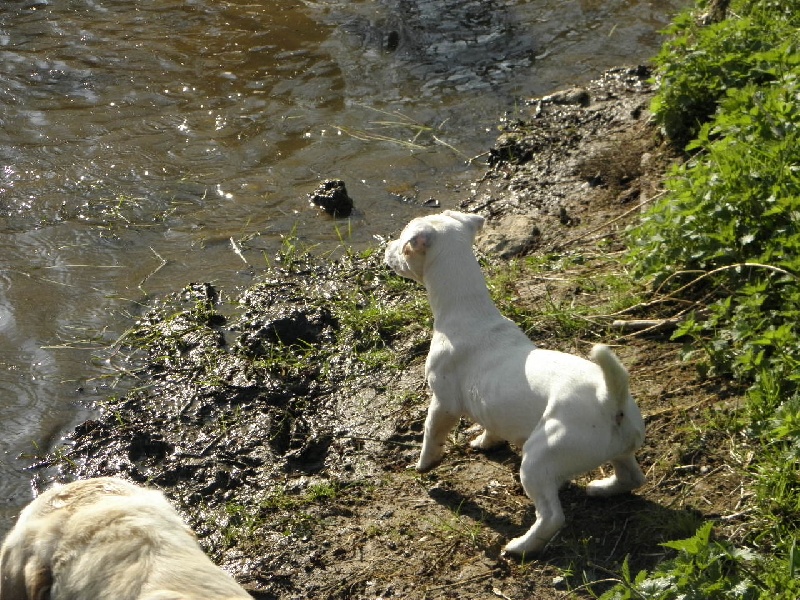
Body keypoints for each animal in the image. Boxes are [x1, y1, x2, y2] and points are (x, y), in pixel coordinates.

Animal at [384, 212, 648, 556]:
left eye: (402, 243)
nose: (385, 249)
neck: (469, 310)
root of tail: (610, 400)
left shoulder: (443, 402)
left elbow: (432, 432)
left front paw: (424, 463)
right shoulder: (489, 403)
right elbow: (491, 427)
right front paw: (485, 443)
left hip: (537, 461)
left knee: (551, 517)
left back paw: (520, 546)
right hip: (620, 450)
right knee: (631, 477)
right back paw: (602, 489)